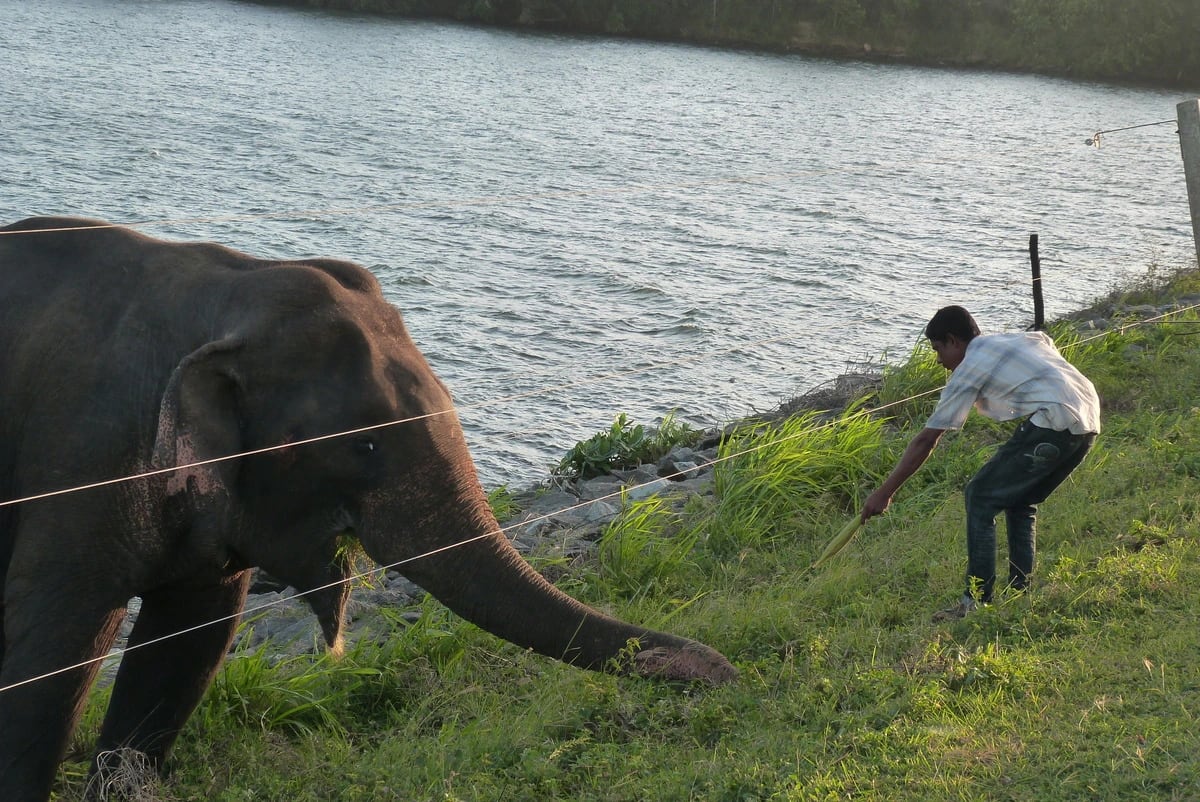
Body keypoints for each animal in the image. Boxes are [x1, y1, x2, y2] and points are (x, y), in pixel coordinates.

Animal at [0, 216, 737, 801]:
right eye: (365, 444)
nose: (726, 672)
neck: (231, 287)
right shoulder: (80, 466)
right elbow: (54, 654)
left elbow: (187, 647)